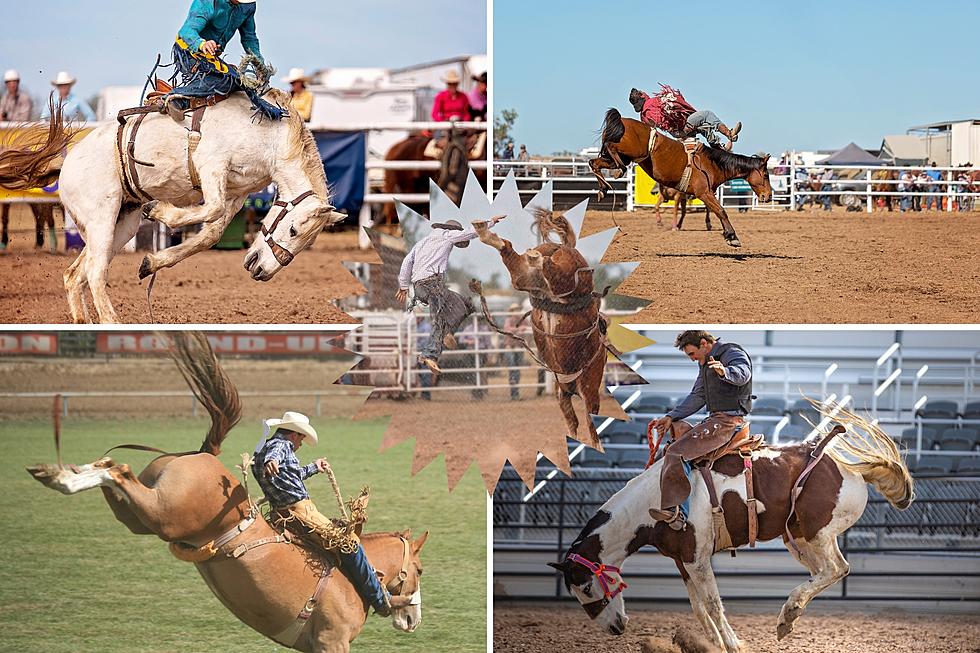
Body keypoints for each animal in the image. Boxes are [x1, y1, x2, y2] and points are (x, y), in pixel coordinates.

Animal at [0, 92, 344, 324]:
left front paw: (151, 262)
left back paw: (83, 321)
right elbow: (210, 210)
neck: (269, 136)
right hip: (101, 218)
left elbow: (211, 233)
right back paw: (112, 322)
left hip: (119, 227)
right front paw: (160, 211)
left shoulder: (237, 192)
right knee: (95, 273)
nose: (261, 271)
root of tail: (66, 161)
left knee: (76, 274)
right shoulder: (211, 165)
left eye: (305, 242)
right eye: (293, 229)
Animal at [25, 334, 424, 652]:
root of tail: (205, 453)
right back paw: (60, 477)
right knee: (118, 470)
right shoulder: (331, 642)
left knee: (111, 470)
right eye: (419, 568)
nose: (413, 620)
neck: (351, 578)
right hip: (165, 515)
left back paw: (60, 472)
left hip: (142, 516)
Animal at [588, 109, 772, 247]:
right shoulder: (704, 193)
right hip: (631, 152)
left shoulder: (703, 194)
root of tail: (622, 120)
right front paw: (732, 237)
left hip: (624, 156)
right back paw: (619, 171)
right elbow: (721, 211)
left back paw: (603, 189)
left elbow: (715, 211)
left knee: (594, 162)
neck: (711, 163)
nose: (769, 196)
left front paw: (727, 234)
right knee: (610, 149)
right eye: (765, 174)